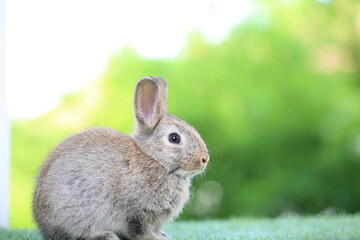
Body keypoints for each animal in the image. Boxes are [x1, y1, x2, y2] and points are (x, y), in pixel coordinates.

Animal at [32, 77, 210, 240]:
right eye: (174, 138)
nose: (204, 159)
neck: (154, 159)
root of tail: (42, 223)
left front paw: (163, 235)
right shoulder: (136, 211)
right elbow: (140, 230)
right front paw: (157, 238)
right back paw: (105, 235)